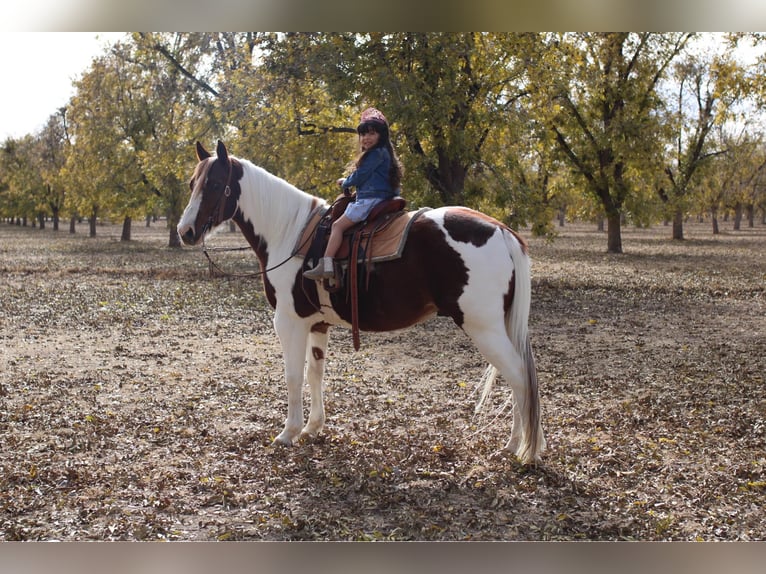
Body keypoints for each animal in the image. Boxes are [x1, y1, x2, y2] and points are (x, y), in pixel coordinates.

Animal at [177, 140, 545, 464]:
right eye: (193, 183)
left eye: (214, 184)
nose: (185, 231)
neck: (292, 234)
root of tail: (501, 230)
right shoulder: (317, 324)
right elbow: (315, 373)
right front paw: (312, 428)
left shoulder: (289, 322)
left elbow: (293, 376)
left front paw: (288, 432)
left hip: (484, 329)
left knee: (518, 377)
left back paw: (516, 447)